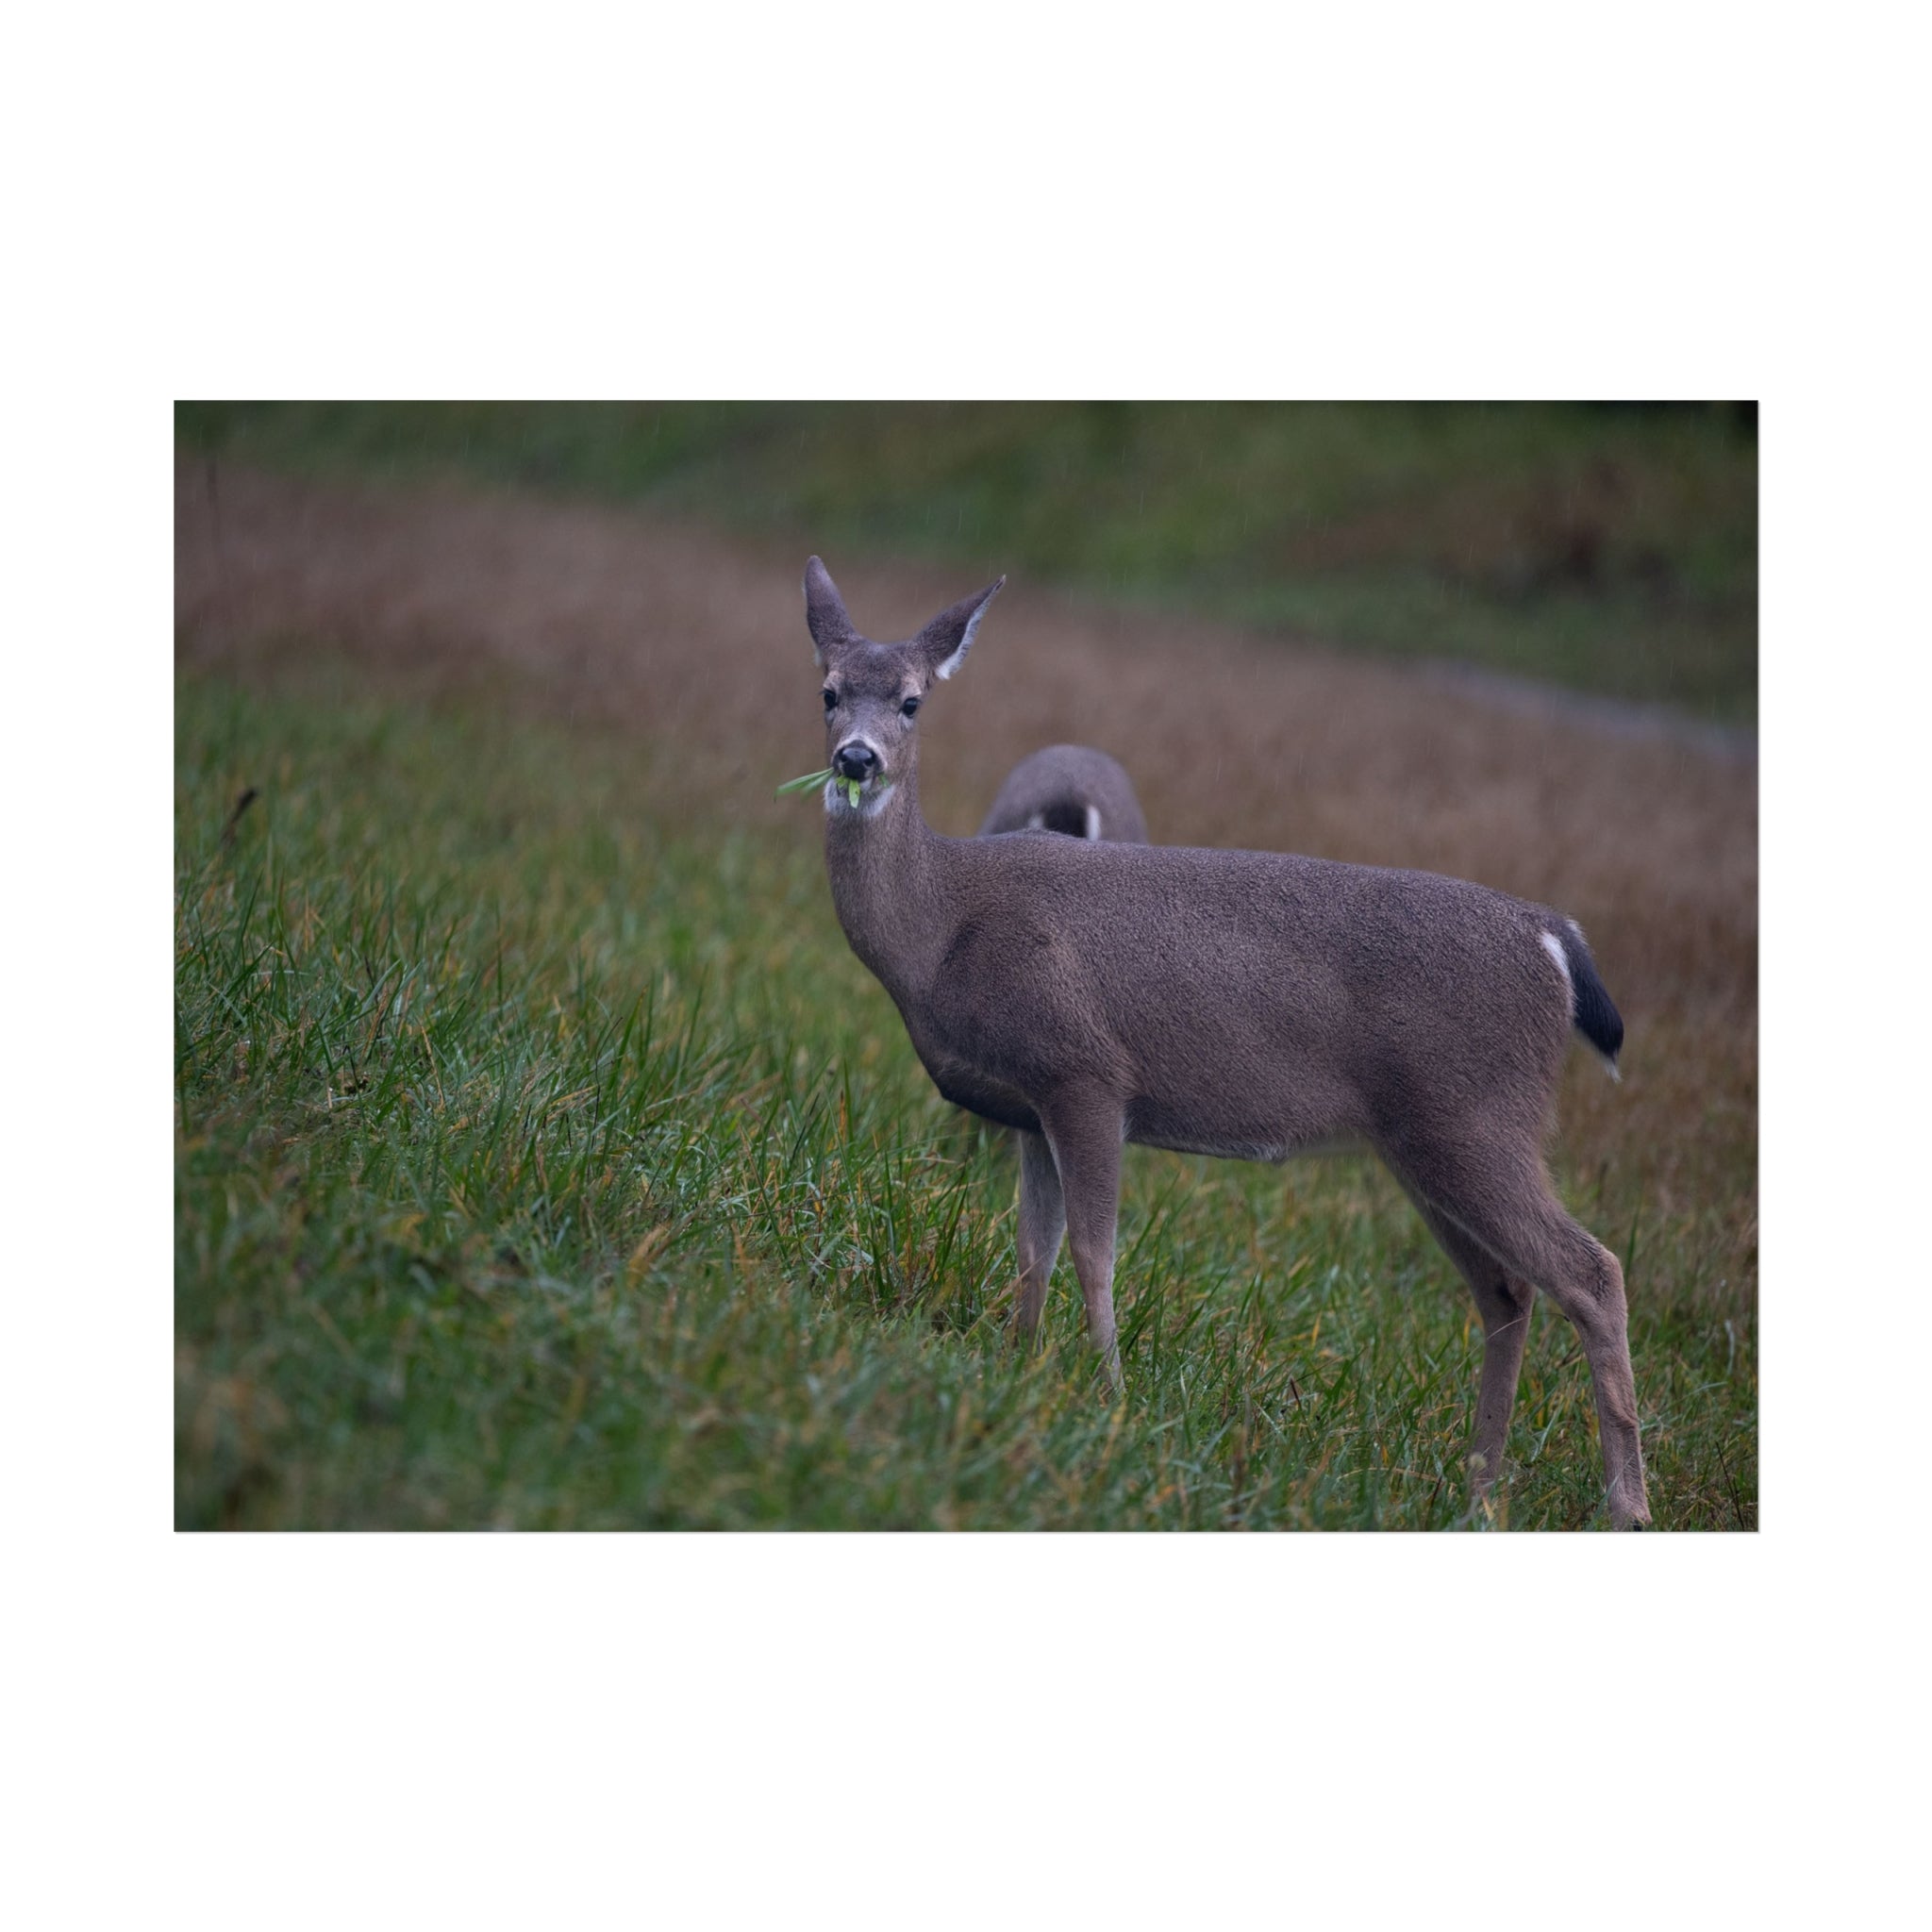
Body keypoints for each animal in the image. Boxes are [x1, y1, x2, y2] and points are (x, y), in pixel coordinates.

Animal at [802, 557, 1650, 1529]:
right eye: (828, 691)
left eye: (911, 701)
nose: (855, 759)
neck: (941, 927)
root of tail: (1555, 940)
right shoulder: (1026, 1102)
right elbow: (1032, 1250)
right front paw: (1018, 1371)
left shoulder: (1087, 1071)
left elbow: (1094, 1251)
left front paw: (1110, 1399)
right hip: (1428, 1136)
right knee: (1507, 1291)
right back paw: (1479, 1488)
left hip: (1477, 1114)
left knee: (1592, 1272)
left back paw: (1626, 1505)